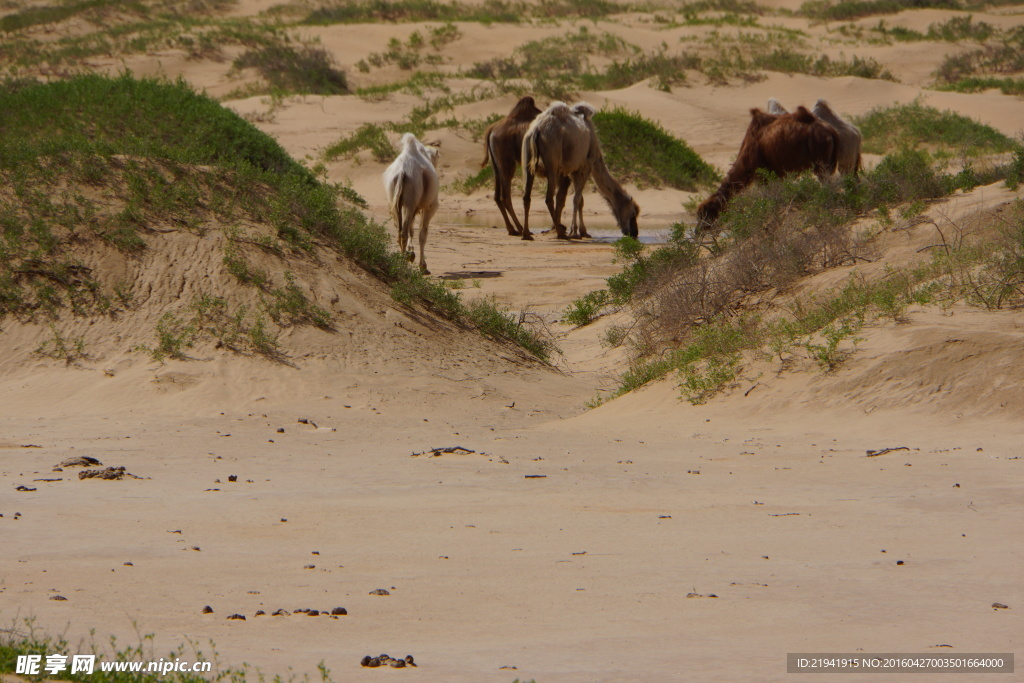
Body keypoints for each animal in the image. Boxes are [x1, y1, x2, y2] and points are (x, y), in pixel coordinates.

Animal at [380, 132, 436, 274]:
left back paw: (401, 258)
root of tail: (401, 172)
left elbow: (412, 229)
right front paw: (423, 266)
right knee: (405, 231)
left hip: (395, 200)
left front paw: (411, 254)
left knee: (401, 230)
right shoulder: (430, 207)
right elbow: (422, 234)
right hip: (410, 199)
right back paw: (403, 264)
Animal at [479, 94, 544, 236]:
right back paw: (520, 229)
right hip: (507, 162)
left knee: (497, 196)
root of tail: (491, 129)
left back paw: (512, 228)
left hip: (496, 164)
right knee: (505, 196)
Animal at [524, 101, 634, 240]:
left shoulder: (573, 170)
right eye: (633, 213)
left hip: (528, 157)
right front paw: (575, 232)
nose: (634, 233)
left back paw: (526, 234)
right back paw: (561, 233)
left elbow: (579, 199)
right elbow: (576, 198)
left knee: (526, 196)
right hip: (552, 159)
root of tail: (537, 129)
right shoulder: (586, 166)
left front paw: (583, 231)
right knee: (549, 198)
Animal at [696, 105, 839, 225]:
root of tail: (831, 132)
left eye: (706, 214)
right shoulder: (777, 175)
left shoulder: (762, 174)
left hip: (821, 157)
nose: (698, 231)